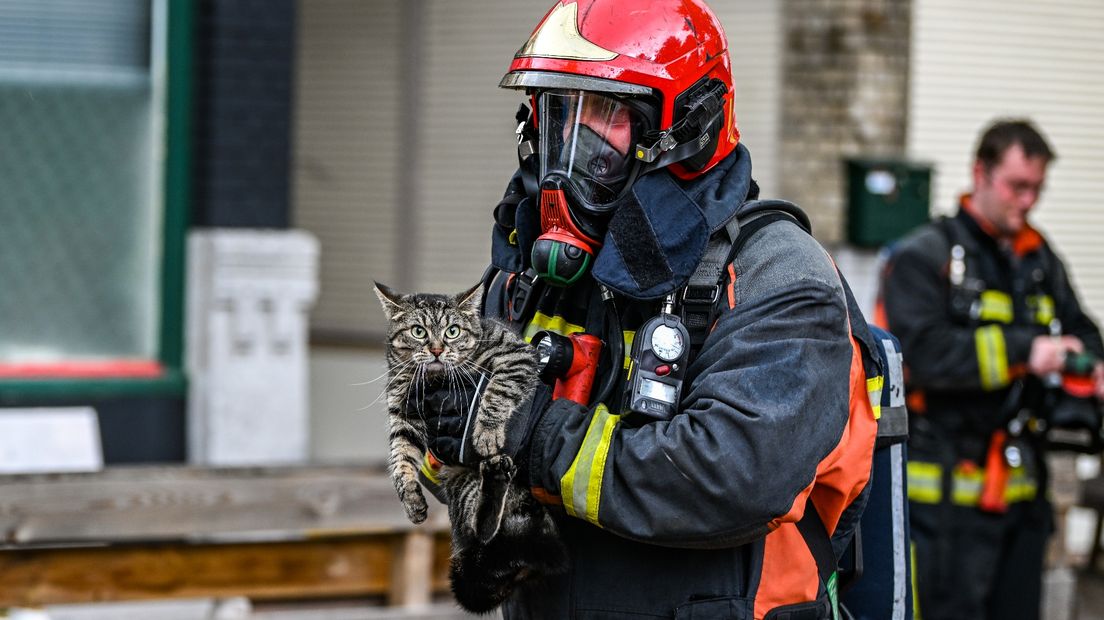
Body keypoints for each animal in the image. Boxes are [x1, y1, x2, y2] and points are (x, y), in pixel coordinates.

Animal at [377, 282, 569, 608]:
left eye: (452, 331)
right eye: (418, 331)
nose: (437, 349)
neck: (435, 380)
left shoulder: (516, 356)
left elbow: (497, 390)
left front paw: (486, 432)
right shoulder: (402, 413)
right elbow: (400, 459)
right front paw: (410, 498)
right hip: (464, 485)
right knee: (480, 532)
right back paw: (496, 479)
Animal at [878, 118, 1104, 613]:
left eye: (1031, 187)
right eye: (1017, 185)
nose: (1024, 206)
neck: (992, 235)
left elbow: (1081, 319)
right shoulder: (917, 282)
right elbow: (933, 341)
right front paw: (1041, 351)